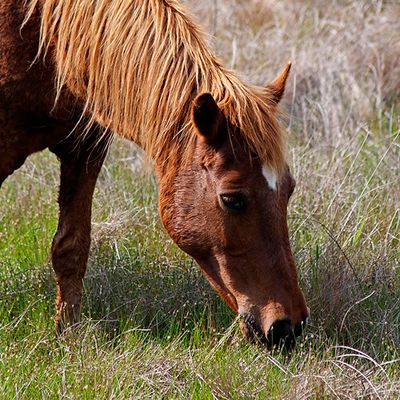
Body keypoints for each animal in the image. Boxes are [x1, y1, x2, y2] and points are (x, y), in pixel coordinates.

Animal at [0, 0, 310, 346]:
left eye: (289, 189)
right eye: (232, 199)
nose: (288, 326)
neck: (40, 31)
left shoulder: (86, 147)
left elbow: (71, 247)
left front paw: (68, 335)